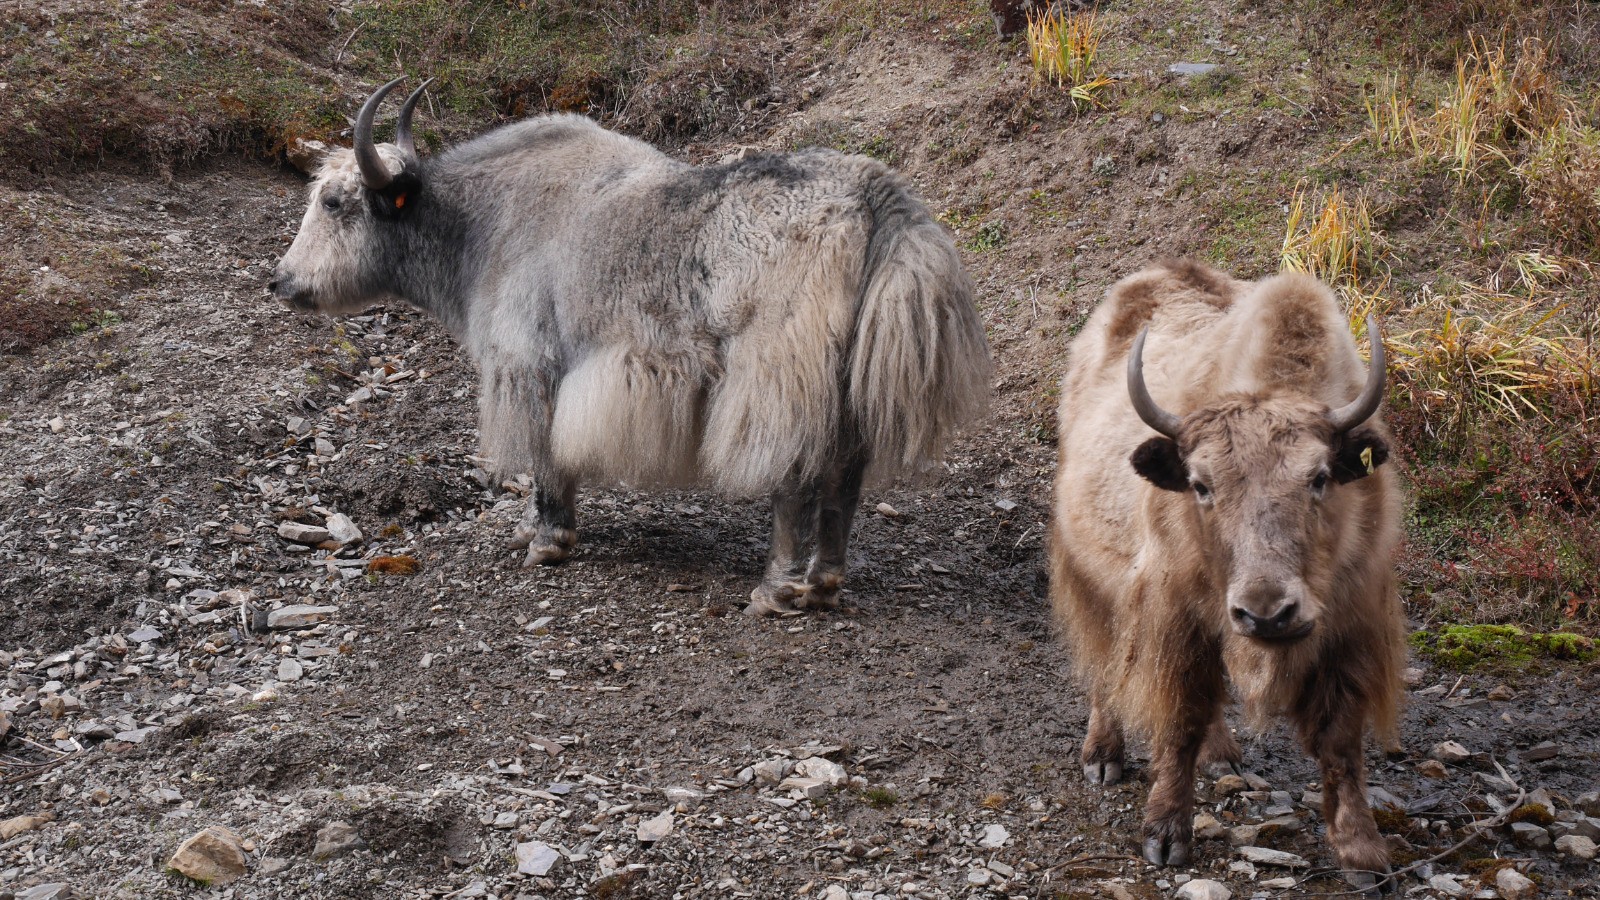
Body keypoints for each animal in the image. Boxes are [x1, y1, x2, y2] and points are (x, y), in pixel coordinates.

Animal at [269, 79, 991, 616]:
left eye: (333, 202)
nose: (281, 281)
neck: (479, 225)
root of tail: (876, 199)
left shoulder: (532, 363)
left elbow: (547, 453)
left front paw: (547, 542)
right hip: (846, 379)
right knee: (845, 475)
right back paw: (824, 582)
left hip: (776, 373)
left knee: (793, 470)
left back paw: (775, 589)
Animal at [1048, 259, 1404, 891]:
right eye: (1200, 484)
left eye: (1319, 477)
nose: (1267, 614)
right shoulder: (1173, 617)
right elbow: (1180, 718)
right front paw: (1165, 835)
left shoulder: (1350, 627)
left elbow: (1341, 741)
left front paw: (1362, 854)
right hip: (1094, 580)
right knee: (1105, 665)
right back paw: (1104, 757)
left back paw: (1220, 754)